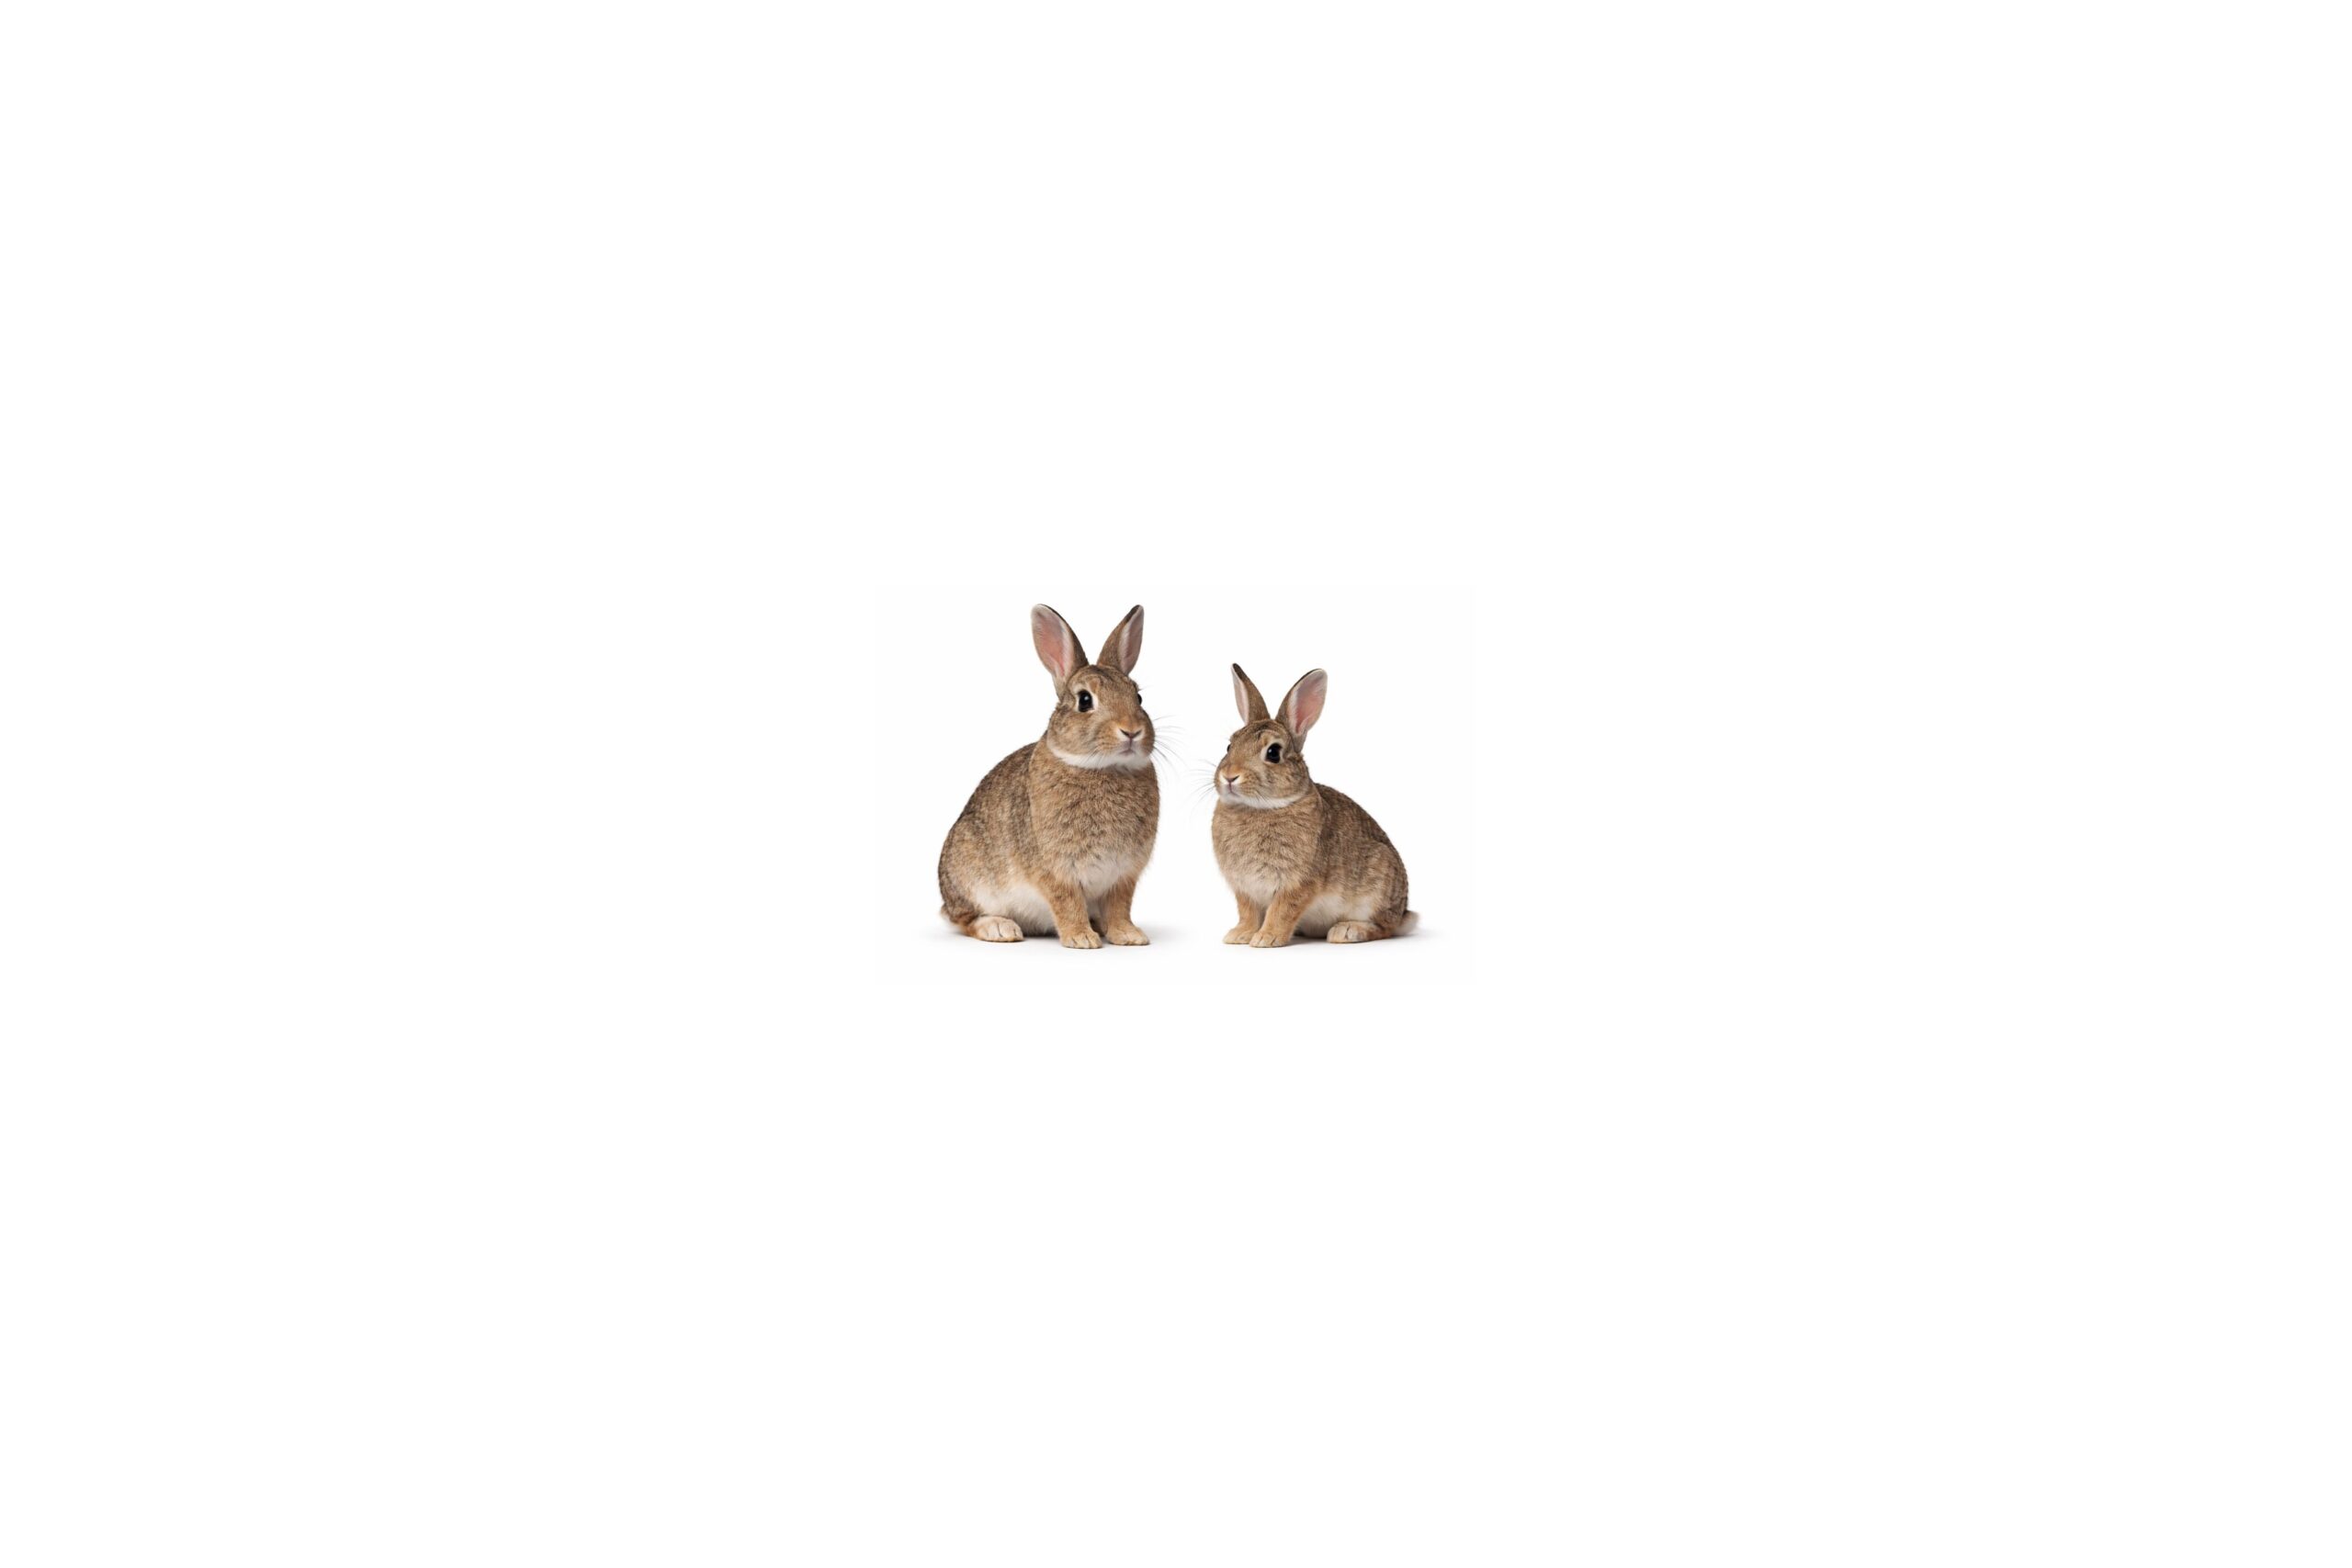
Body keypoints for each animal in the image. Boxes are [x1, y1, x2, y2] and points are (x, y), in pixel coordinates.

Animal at [938, 604, 1158, 947]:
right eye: (1084, 700)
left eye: (1138, 698)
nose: (1132, 731)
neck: (1103, 767)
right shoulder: (1055, 870)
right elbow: (1067, 903)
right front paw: (1081, 939)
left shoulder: (1123, 875)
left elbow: (1120, 907)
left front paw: (1128, 936)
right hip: (970, 875)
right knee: (965, 919)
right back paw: (999, 928)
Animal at [1212, 664, 1416, 946]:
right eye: (1229, 746)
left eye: (1273, 753)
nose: (1230, 776)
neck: (1261, 807)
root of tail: (1404, 912)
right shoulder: (1245, 888)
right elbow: (1248, 912)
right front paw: (1240, 935)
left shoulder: (1298, 883)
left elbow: (1282, 910)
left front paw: (1267, 938)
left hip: (1378, 886)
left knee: (1385, 927)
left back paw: (1347, 931)